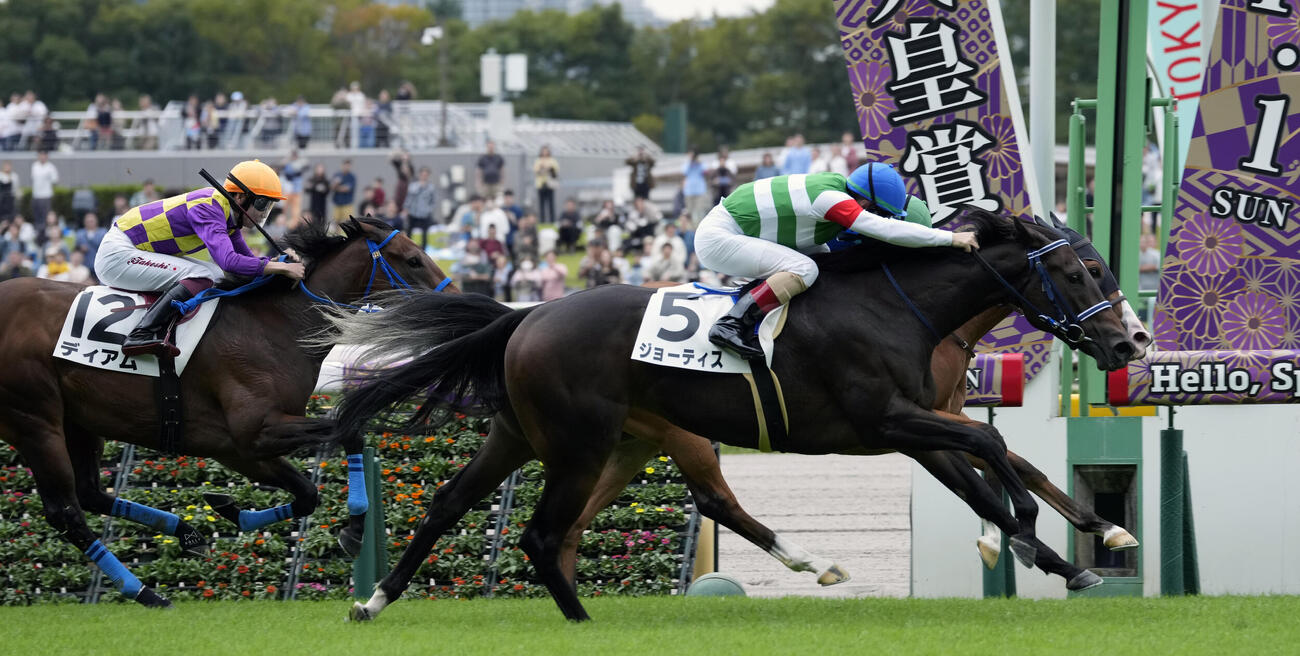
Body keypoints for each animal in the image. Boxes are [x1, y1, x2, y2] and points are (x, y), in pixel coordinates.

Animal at [0, 215, 451, 608]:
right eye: (412, 259)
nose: (452, 296)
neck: (277, 325)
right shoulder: (257, 431)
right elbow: (348, 430)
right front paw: (355, 529)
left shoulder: (236, 447)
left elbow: (307, 494)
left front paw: (229, 508)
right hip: (35, 420)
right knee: (66, 513)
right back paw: (146, 593)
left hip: (78, 422)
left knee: (90, 493)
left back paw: (185, 533)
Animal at [328, 210, 1139, 621]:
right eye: (1079, 272)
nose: (1130, 341)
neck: (893, 304)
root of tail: (526, 313)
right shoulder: (890, 421)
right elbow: (993, 452)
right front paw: (1041, 534)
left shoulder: (914, 427)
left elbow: (985, 473)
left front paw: (1068, 558)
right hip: (583, 441)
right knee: (544, 530)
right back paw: (583, 621)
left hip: (526, 433)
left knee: (447, 503)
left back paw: (374, 600)